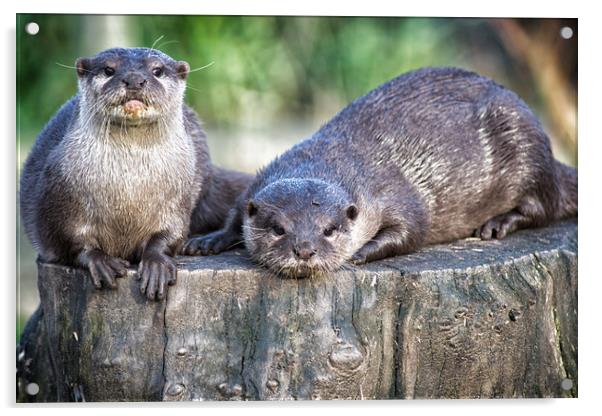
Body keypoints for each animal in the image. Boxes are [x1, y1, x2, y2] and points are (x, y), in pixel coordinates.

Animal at [19, 48, 252, 300]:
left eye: (157, 70)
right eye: (108, 69)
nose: (134, 80)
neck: (130, 187)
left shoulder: (178, 198)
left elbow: (171, 234)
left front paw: (156, 264)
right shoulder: (59, 195)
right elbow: (70, 240)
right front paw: (100, 260)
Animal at [180, 66, 576, 278]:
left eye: (329, 229)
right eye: (279, 229)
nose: (305, 250)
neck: (332, 159)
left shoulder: (393, 195)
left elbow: (412, 231)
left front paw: (359, 253)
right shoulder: (255, 186)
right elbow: (234, 215)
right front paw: (206, 241)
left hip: (527, 147)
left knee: (544, 206)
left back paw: (497, 224)